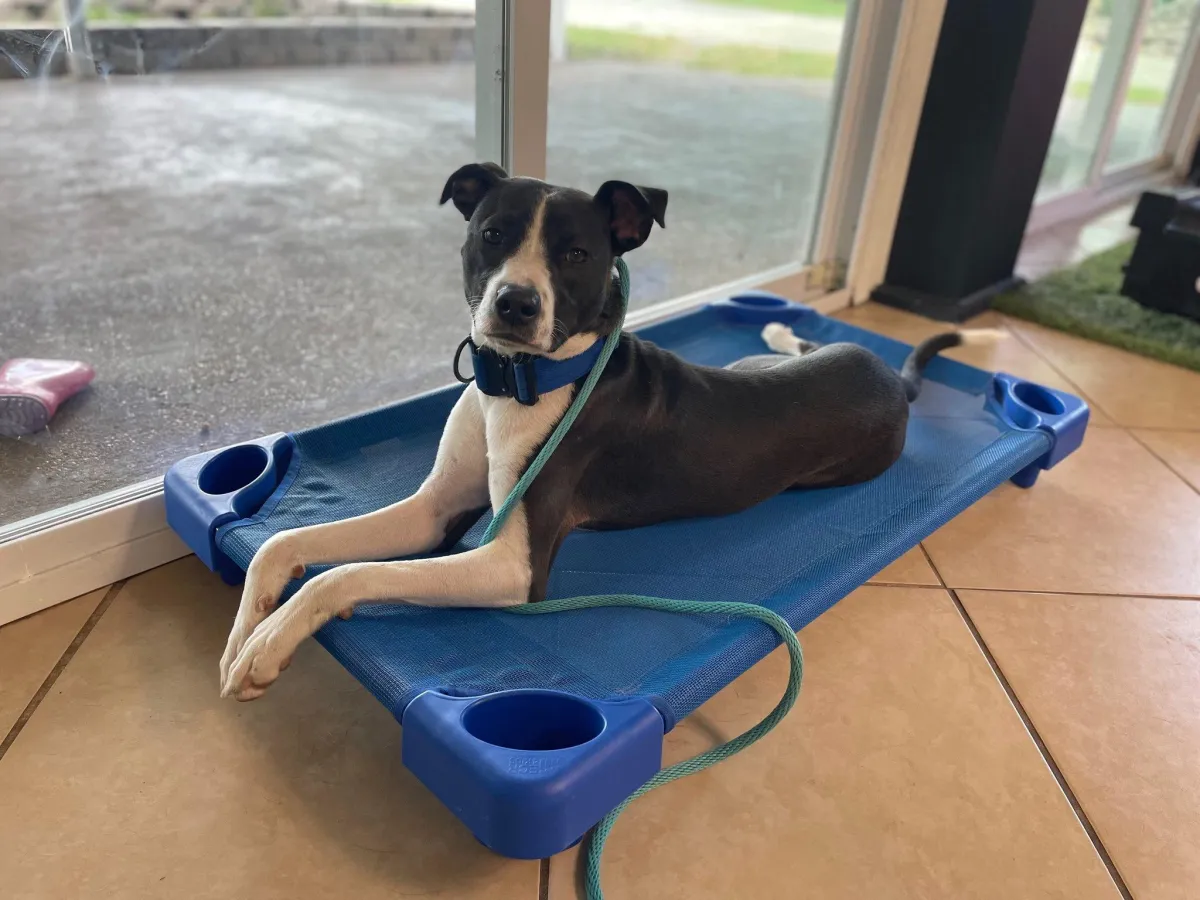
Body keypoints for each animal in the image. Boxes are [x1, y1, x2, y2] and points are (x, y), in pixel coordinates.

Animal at [220, 162, 988, 700]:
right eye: (492, 235)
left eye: (577, 254)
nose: (516, 303)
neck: (521, 381)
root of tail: (887, 377)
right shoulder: (433, 511)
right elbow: (291, 544)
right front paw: (248, 625)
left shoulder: (512, 569)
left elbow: (347, 574)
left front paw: (269, 644)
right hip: (762, 364)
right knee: (794, 342)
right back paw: (776, 324)